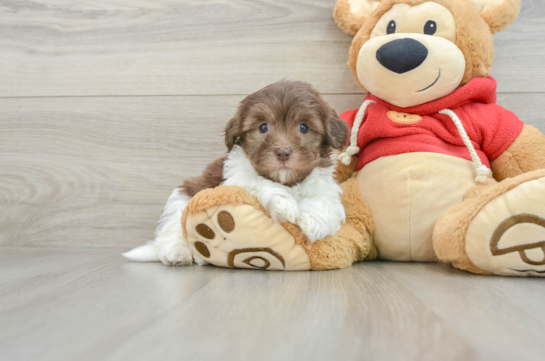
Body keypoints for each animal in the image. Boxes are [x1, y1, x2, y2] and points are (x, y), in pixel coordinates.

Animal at [122, 79, 348, 264]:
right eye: (263, 127)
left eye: (304, 127)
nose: (283, 152)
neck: (287, 181)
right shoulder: (234, 179)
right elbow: (258, 181)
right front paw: (284, 204)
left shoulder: (325, 186)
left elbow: (325, 202)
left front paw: (312, 222)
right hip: (182, 200)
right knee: (172, 229)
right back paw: (178, 253)